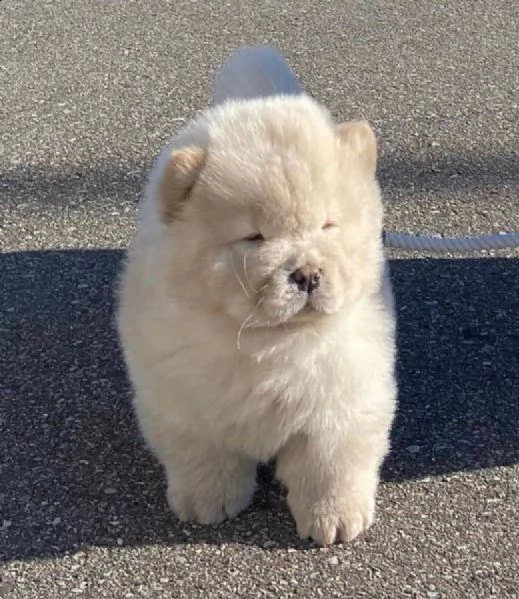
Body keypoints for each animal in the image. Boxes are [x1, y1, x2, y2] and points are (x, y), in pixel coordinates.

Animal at [116, 44, 396, 548]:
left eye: (327, 225)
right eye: (254, 237)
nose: (307, 274)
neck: (271, 344)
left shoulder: (343, 394)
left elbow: (330, 464)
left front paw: (334, 519)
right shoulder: (183, 399)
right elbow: (203, 457)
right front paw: (207, 504)